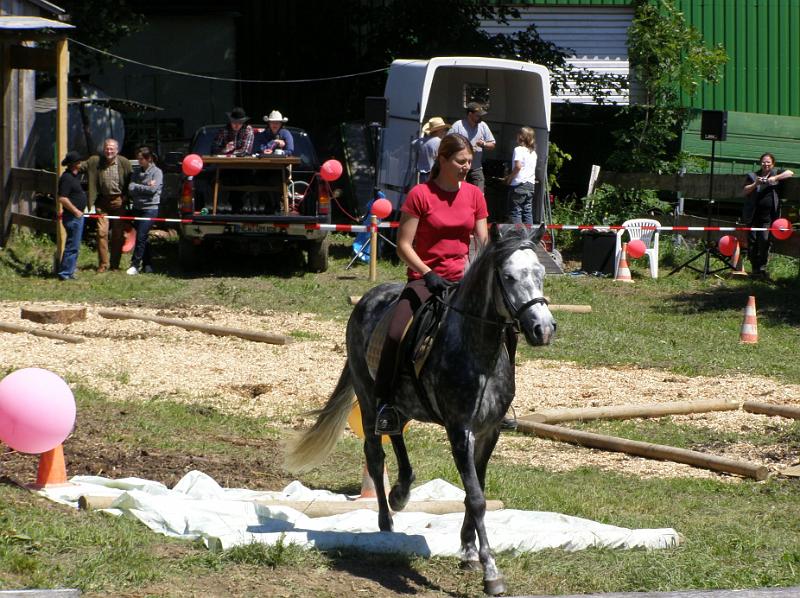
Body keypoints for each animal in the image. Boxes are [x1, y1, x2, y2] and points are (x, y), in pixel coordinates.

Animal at [285, 224, 556, 596]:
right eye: (509, 277)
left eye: (541, 273)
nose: (543, 329)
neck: (477, 350)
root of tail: (370, 297)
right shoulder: (460, 430)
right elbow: (476, 497)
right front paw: (491, 572)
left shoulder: (489, 431)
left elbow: (477, 490)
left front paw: (468, 553)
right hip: (367, 397)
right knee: (376, 454)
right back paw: (386, 522)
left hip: (403, 402)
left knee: (397, 431)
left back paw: (401, 491)